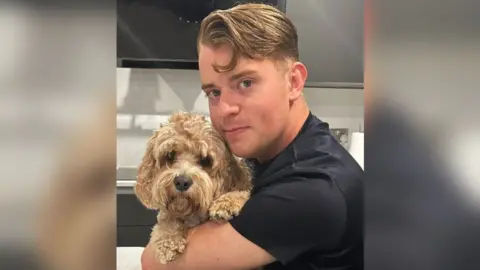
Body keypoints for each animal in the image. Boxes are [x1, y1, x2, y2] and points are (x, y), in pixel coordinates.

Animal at [132, 111, 251, 264]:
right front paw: (168, 240)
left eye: (205, 160)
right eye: (170, 155)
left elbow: (243, 191)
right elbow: (166, 218)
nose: (182, 182)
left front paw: (226, 203)